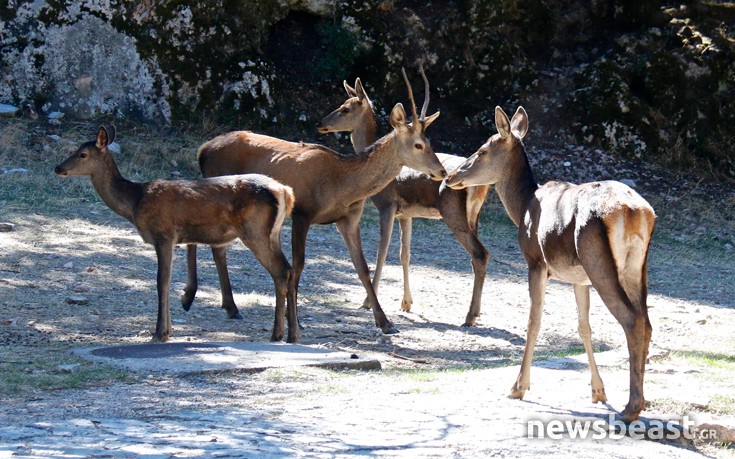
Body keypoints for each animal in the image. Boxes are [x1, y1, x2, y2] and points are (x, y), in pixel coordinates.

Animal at [54, 127, 300, 344]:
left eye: (82, 154)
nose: (58, 168)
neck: (135, 202)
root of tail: (285, 192)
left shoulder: (163, 234)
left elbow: (161, 281)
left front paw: (159, 333)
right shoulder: (171, 240)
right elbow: (169, 279)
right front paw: (168, 330)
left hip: (255, 231)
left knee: (280, 272)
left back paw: (277, 334)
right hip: (273, 233)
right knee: (289, 270)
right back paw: (293, 335)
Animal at [185, 67, 448, 334]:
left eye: (429, 142)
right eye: (418, 144)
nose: (442, 171)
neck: (343, 185)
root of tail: (203, 150)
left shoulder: (349, 219)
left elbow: (362, 267)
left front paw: (385, 322)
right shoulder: (303, 213)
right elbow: (298, 265)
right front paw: (296, 320)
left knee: (216, 245)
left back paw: (228, 306)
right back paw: (199, 299)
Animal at [314, 77, 488, 328]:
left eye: (345, 108)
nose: (320, 123)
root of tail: (480, 185)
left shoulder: (387, 206)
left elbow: (382, 252)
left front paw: (367, 302)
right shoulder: (406, 214)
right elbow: (404, 254)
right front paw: (406, 303)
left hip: (453, 212)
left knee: (480, 253)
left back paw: (470, 316)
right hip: (474, 215)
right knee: (476, 257)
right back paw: (476, 312)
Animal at [446, 106, 660, 422]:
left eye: (483, 150)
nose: (450, 176)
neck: (522, 208)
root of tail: (635, 212)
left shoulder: (535, 261)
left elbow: (534, 320)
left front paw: (518, 387)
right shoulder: (578, 278)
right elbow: (584, 326)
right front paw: (598, 392)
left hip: (598, 261)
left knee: (632, 320)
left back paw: (630, 408)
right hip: (636, 267)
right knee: (646, 321)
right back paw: (636, 401)